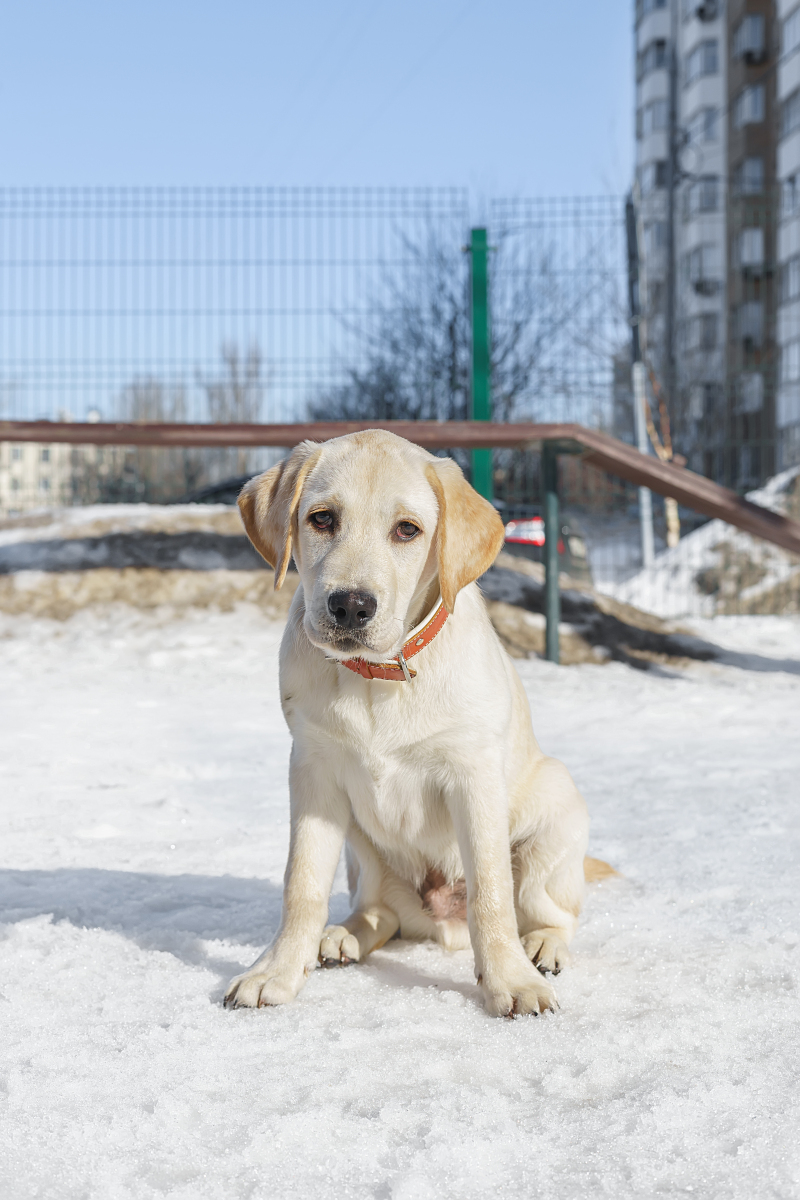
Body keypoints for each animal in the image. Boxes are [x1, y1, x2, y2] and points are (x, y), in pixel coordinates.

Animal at [225, 427, 594, 1017]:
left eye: (407, 530)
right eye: (322, 518)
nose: (350, 606)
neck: (378, 676)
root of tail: (439, 923)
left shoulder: (472, 775)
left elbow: (491, 893)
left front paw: (510, 981)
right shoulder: (312, 772)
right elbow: (301, 885)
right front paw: (276, 970)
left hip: (555, 810)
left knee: (550, 911)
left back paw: (541, 948)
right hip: (361, 850)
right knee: (384, 912)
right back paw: (343, 935)